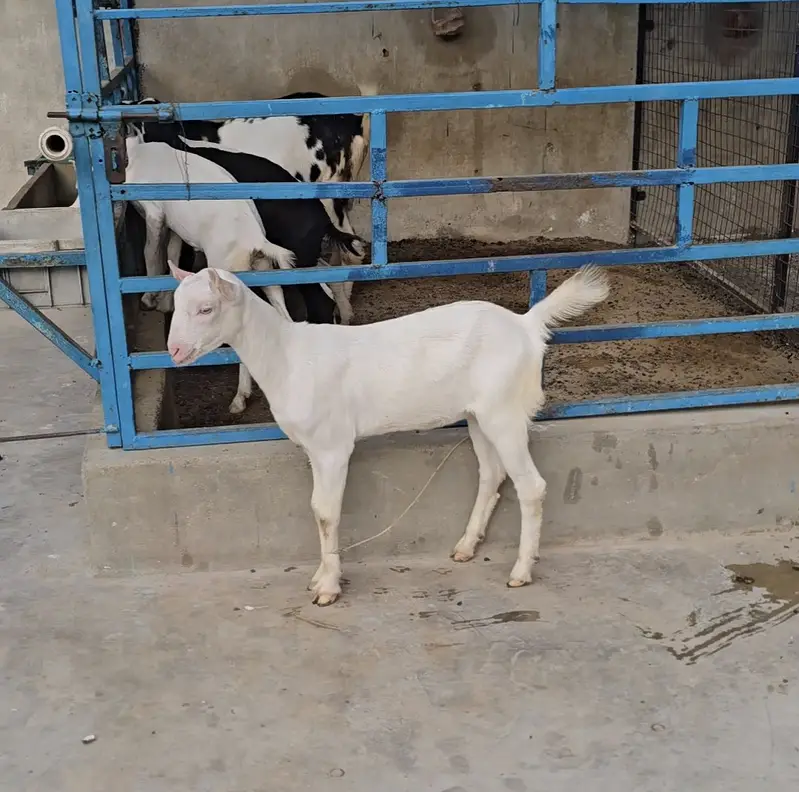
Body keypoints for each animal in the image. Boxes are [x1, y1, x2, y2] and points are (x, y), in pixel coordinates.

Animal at [166, 263, 610, 605]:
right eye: (175, 306)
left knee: (531, 486)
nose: (174, 351)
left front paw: (327, 588)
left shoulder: (332, 445)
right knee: (491, 474)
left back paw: (520, 571)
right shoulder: (314, 449)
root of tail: (525, 324)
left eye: (206, 308)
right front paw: (319, 577)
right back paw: (466, 547)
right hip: (478, 413)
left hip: (504, 410)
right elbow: (317, 509)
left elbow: (326, 513)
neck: (287, 358)